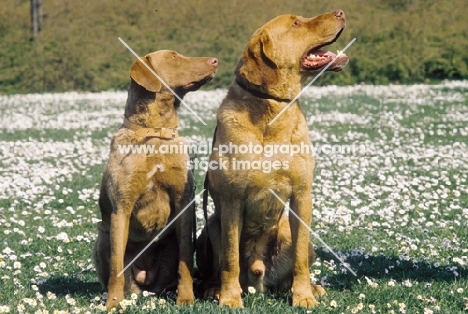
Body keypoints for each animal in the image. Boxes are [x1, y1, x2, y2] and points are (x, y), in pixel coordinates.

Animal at [95, 49, 219, 310]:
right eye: (174, 57)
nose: (215, 60)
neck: (155, 132)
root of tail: (146, 285)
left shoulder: (184, 204)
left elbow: (185, 257)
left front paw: (186, 298)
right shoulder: (121, 208)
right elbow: (116, 267)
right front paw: (113, 303)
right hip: (102, 235)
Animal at [197, 10, 348, 310]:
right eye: (297, 23)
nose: (341, 12)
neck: (274, 109)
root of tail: (258, 282)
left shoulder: (302, 195)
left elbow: (300, 260)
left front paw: (303, 296)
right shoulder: (231, 200)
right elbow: (230, 259)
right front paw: (230, 298)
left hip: (289, 232)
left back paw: (312, 288)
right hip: (210, 229)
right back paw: (216, 289)